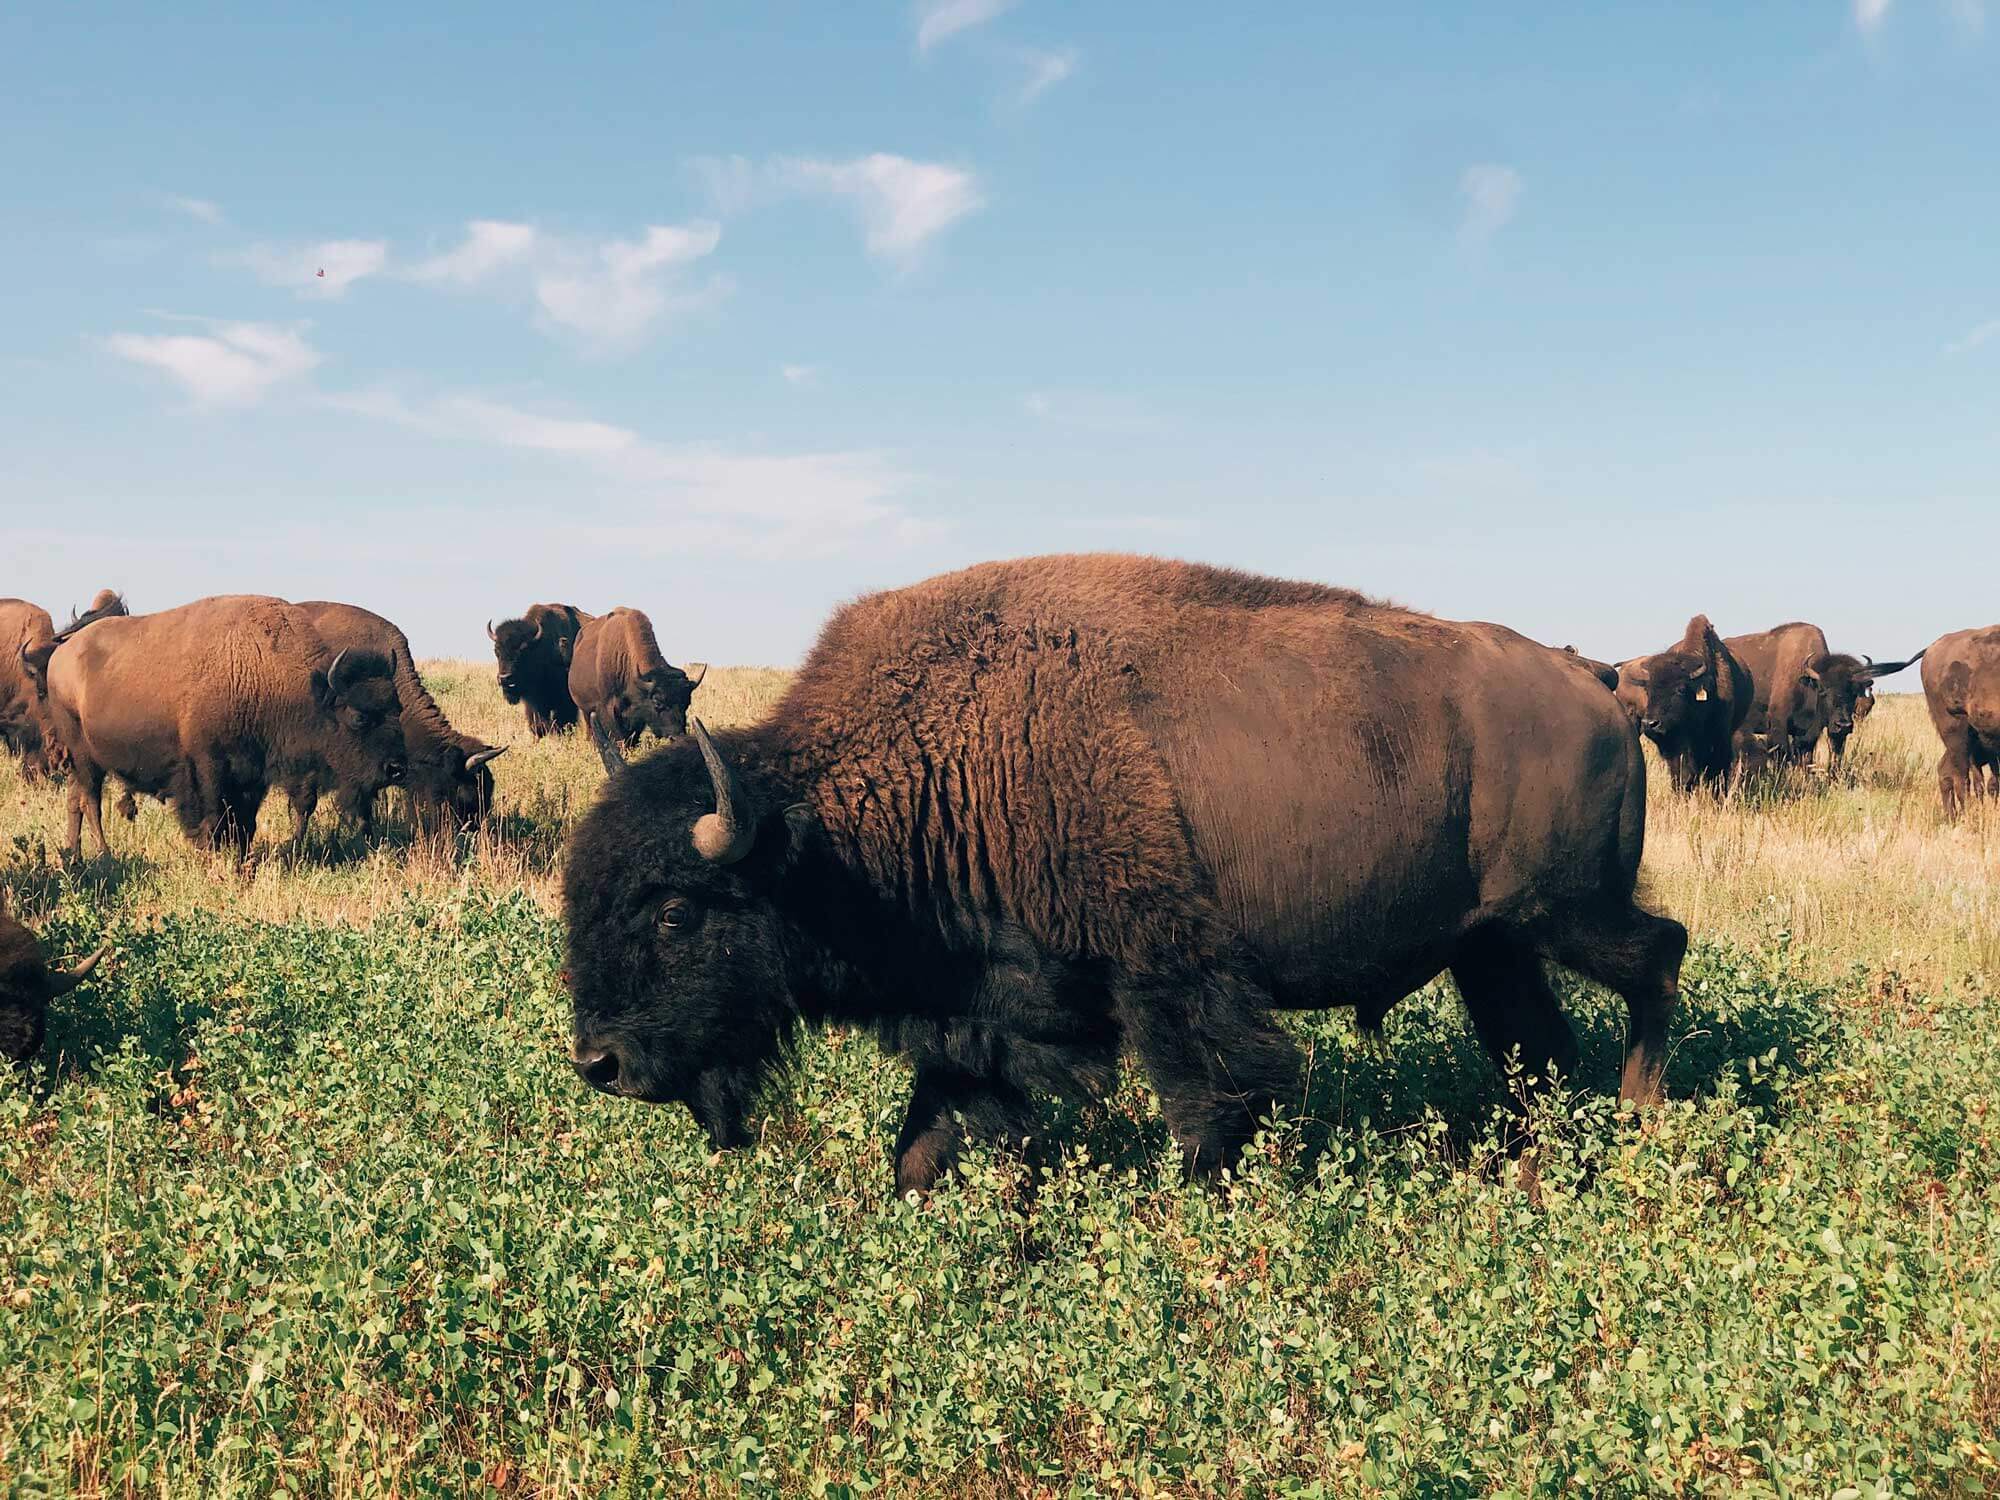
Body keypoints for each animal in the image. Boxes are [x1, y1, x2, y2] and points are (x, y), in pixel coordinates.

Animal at [41, 595, 406, 860]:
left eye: (397, 709)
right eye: (359, 717)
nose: (397, 768)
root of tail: (64, 651)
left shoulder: (252, 774)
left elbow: (246, 822)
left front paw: (241, 859)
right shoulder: (207, 768)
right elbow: (214, 817)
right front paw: (211, 855)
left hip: (80, 762)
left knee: (75, 800)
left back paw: (74, 855)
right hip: (85, 756)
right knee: (90, 802)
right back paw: (105, 855)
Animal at [488, 604, 590, 737]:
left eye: (523, 651)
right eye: (497, 651)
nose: (505, 678)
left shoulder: (565, 701)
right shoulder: (533, 701)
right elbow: (538, 723)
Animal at [569, 606, 702, 758]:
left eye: (687, 703)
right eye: (657, 703)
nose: (677, 737)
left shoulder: (638, 717)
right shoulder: (608, 709)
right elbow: (617, 738)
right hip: (586, 711)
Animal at [1614, 616, 1753, 791]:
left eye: (1680, 690)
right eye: (1647, 690)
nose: (1650, 724)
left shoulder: (1720, 740)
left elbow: (1716, 774)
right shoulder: (1676, 746)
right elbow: (1682, 774)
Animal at [1726, 622, 1921, 774]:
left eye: (1854, 692)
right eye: (1823, 691)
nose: (1843, 725)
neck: (1806, 682)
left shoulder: (1811, 734)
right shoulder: (1778, 726)